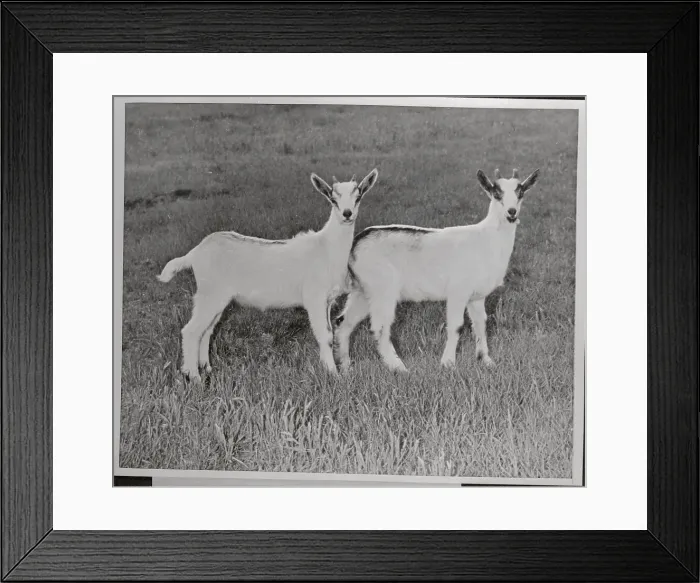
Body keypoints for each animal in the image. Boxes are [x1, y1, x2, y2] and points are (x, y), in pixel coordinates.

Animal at [157, 169, 379, 381]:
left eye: (358, 196)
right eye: (333, 199)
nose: (347, 214)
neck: (326, 247)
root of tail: (195, 252)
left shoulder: (327, 301)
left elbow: (330, 333)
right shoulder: (314, 297)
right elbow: (324, 335)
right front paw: (333, 374)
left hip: (217, 297)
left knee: (207, 330)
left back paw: (207, 368)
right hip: (210, 292)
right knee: (191, 330)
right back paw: (193, 376)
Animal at [334, 168, 539, 372]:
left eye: (520, 192)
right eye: (496, 193)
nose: (511, 212)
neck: (487, 239)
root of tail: (354, 244)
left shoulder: (477, 296)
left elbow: (481, 323)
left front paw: (486, 360)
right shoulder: (458, 290)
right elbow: (457, 325)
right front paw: (448, 363)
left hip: (362, 291)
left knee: (343, 321)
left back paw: (345, 366)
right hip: (382, 287)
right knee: (380, 327)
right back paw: (399, 368)